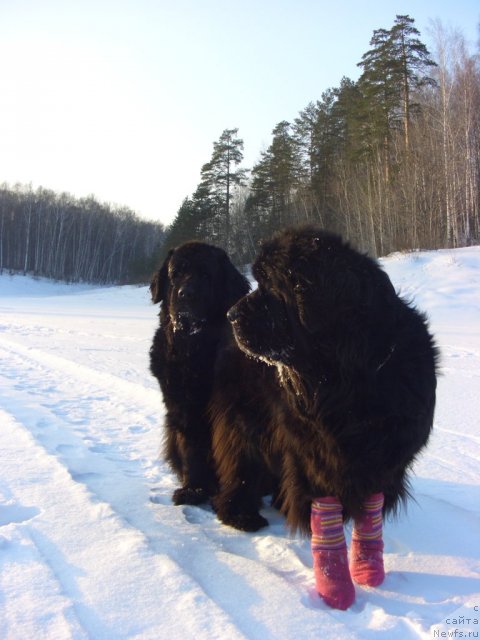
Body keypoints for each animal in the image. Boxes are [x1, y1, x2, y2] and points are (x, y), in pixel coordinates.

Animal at [149, 241, 251, 510]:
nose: (186, 294)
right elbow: (192, 449)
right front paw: (194, 489)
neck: (194, 349)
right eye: (175, 274)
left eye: (205, 275)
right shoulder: (182, 407)